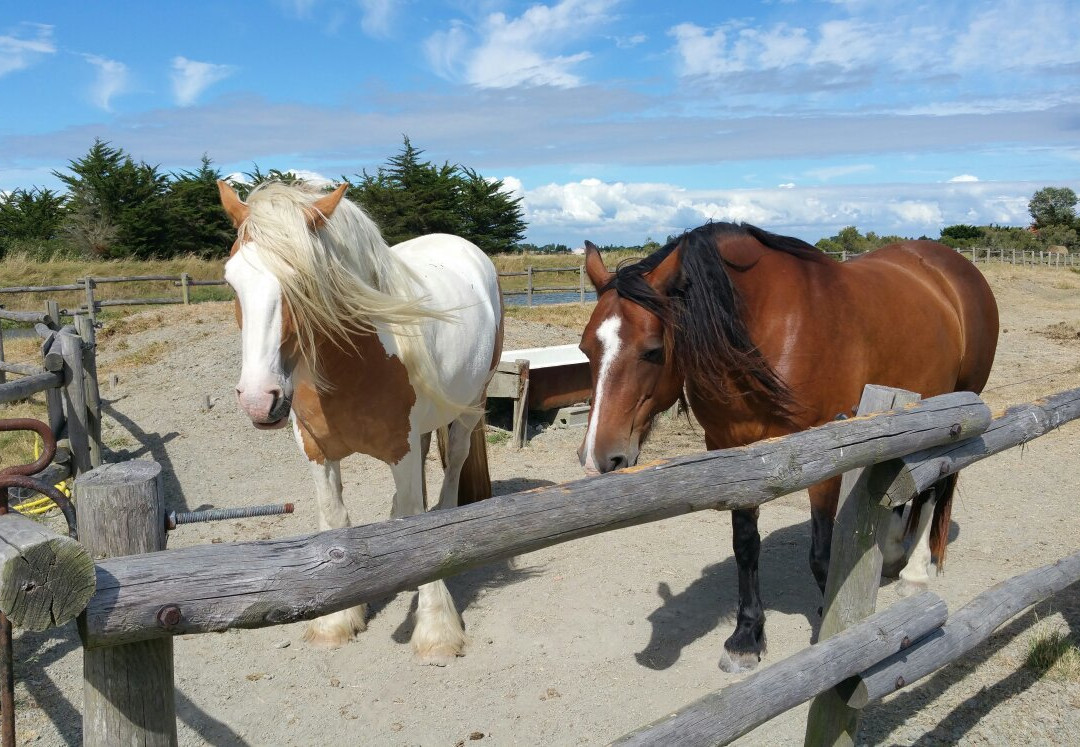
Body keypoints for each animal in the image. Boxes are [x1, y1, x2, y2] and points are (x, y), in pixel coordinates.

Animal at [220, 181, 505, 664]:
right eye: (231, 279)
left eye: (304, 282)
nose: (260, 400)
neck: (355, 361)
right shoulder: (317, 450)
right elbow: (335, 519)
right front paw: (336, 620)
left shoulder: (401, 449)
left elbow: (420, 531)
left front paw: (435, 630)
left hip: (469, 407)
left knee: (452, 469)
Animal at [578, 221, 997, 669]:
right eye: (586, 349)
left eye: (653, 351)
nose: (596, 458)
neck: (767, 331)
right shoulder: (730, 451)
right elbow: (745, 546)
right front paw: (747, 635)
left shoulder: (827, 452)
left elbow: (822, 552)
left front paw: (835, 626)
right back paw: (889, 551)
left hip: (955, 405)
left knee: (936, 485)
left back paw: (915, 573)